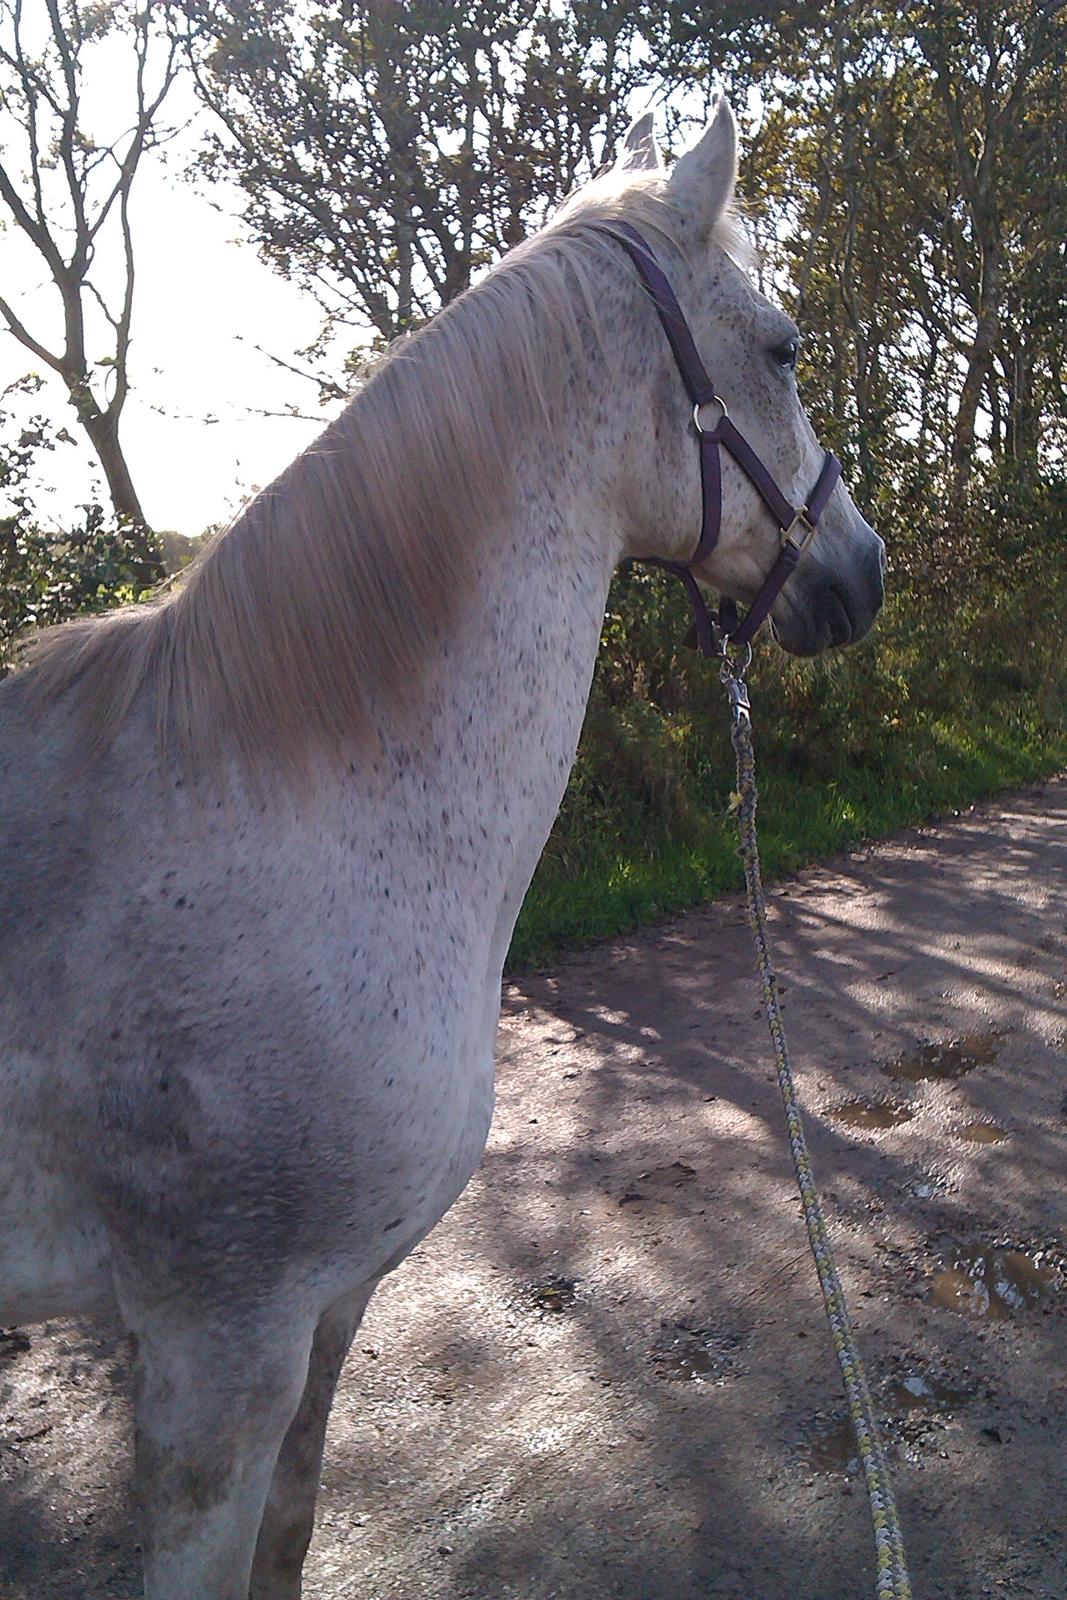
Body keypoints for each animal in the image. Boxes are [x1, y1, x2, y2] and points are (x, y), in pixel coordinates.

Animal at [0, 103, 883, 1600]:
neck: (280, 801)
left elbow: (290, 1538)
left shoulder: (326, 1310)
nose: (862, 573)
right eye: (779, 349)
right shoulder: (210, 1341)